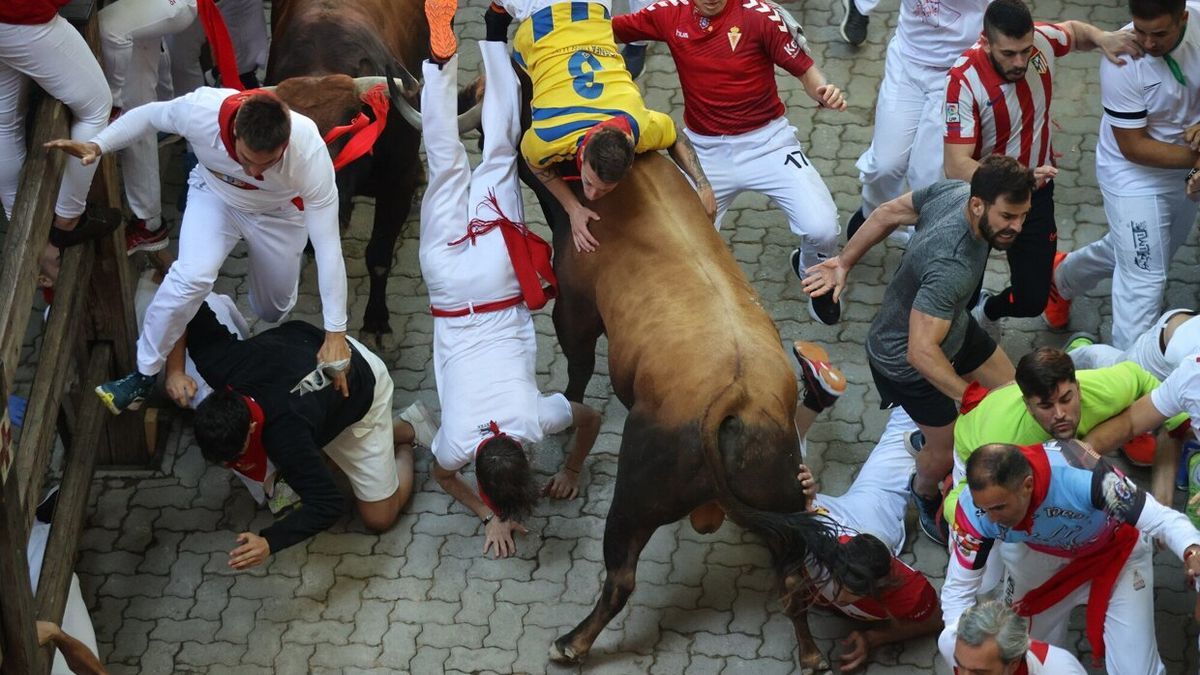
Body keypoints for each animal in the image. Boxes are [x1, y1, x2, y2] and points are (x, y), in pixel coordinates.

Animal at [535, 153, 844, 672]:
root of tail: (738, 395)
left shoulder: (574, 305)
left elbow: (577, 364)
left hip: (635, 498)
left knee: (621, 577)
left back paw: (571, 643)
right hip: (780, 495)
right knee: (791, 577)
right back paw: (813, 655)